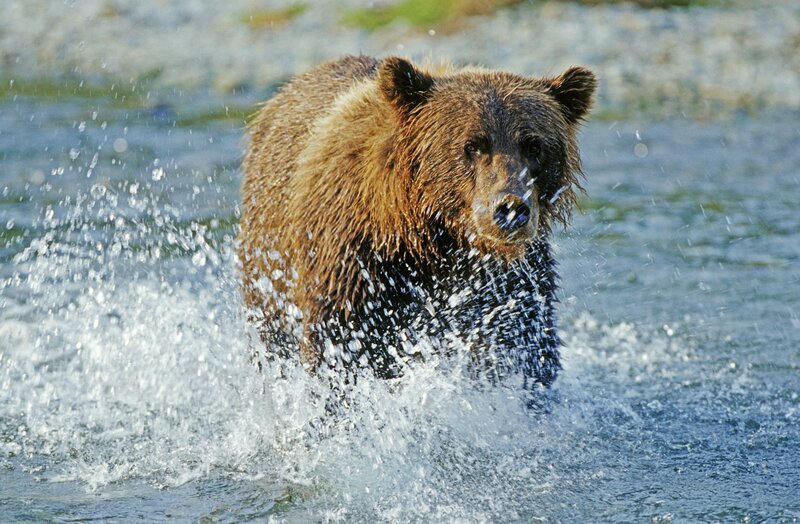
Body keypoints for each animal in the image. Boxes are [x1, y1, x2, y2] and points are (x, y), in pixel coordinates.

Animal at [238, 55, 595, 391]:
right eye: (472, 145)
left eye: (534, 145)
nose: (510, 208)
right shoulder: (355, 262)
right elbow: (340, 347)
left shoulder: (509, 284)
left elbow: (523, 346)